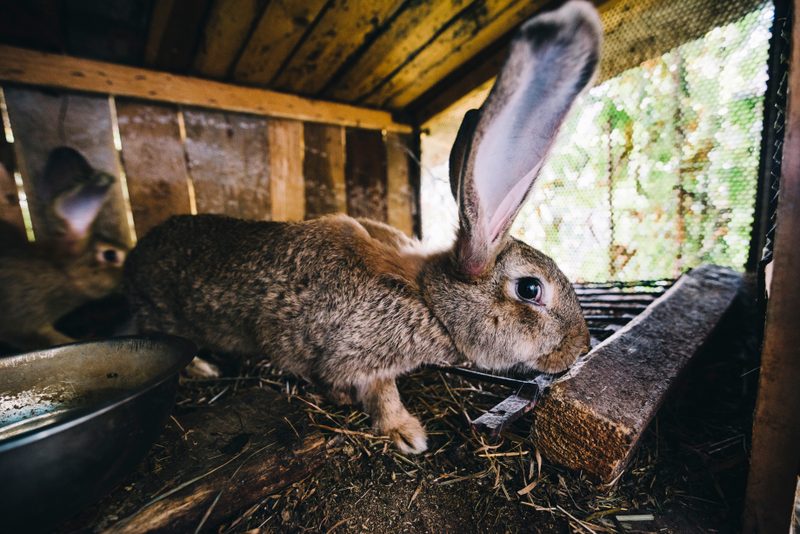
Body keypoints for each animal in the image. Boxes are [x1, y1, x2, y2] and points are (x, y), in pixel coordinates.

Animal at [124, 0, 601, 454]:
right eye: (530, 289)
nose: (581, 346)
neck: (428, 299)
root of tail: (135, 256)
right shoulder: (354, 354)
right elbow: (378, 391)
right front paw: (406, 433)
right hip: (159, 312)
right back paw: (201, 367)